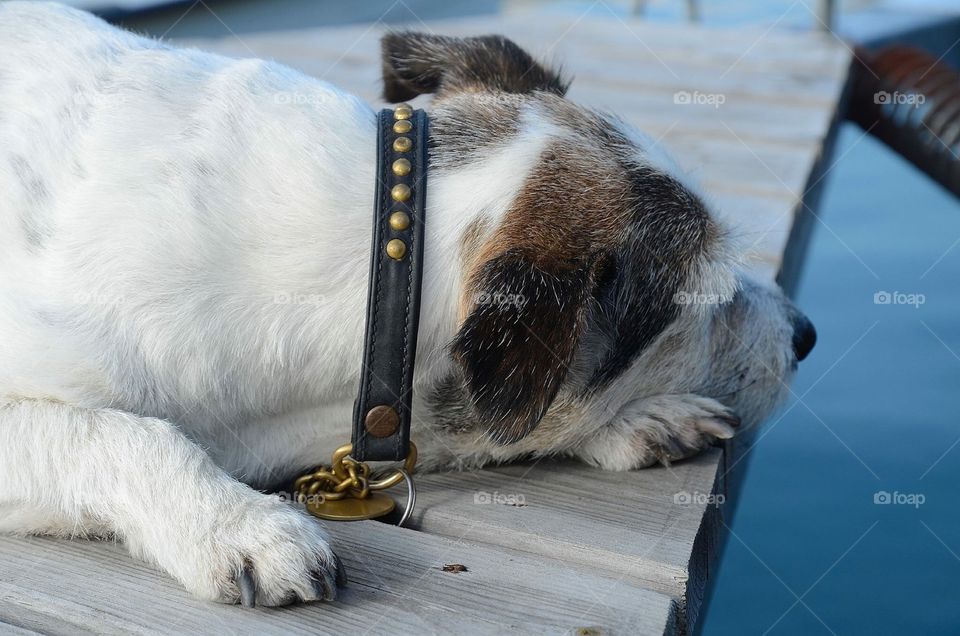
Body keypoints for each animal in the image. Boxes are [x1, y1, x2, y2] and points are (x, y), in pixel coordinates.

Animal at [0, 4, 816, 608]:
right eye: (706, 293)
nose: (805, 334)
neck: (387, 241)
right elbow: (124, 432)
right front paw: (242, 526)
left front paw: (644, 417)